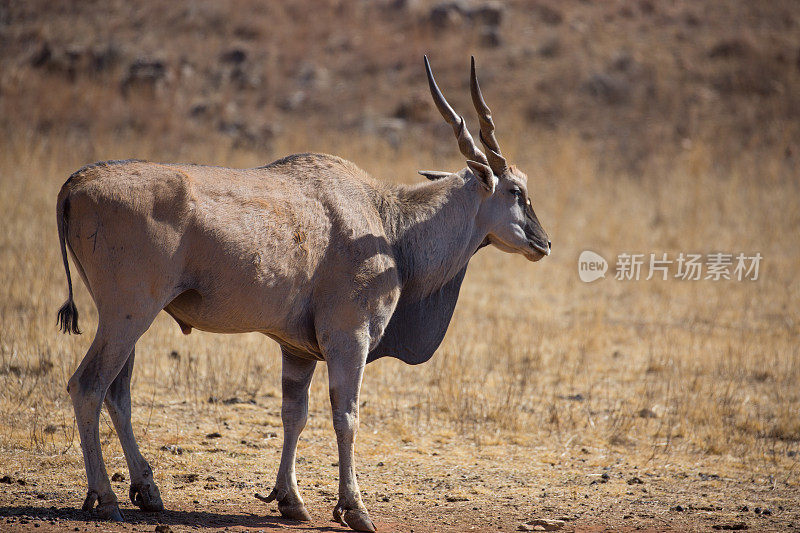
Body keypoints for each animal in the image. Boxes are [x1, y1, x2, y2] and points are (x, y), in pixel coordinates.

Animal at [56, 56, 552, 528]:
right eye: (515, 190)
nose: (543, 243)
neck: (388, 223)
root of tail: (75, 185)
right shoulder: (349, 338)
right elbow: (346, 416)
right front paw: (354, 508)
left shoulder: (296, 349)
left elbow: (293, 413)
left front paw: (290, 500)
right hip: (128, 316)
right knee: (88, 385)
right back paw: (106, 498)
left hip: (127, 322)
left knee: (118, 394)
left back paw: (147, 491)